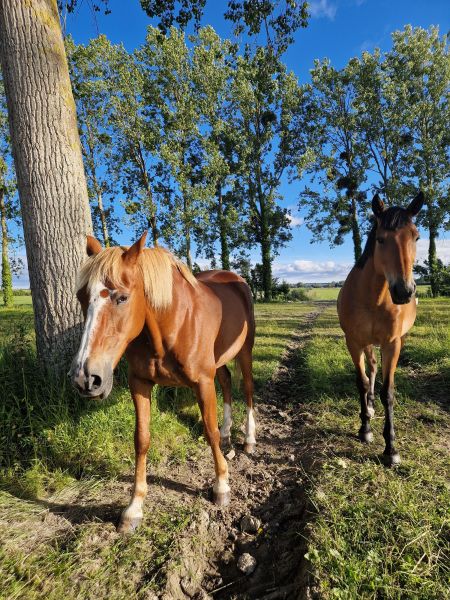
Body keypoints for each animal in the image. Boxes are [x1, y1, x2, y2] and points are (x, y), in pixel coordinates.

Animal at [68, 232, 255, 532]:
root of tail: (236, 280)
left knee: (247, 388)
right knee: (226, 382)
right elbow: (141, 439)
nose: (85, 378)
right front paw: (134, 508)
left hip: (245, 350)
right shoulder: (140, 383)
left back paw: (249, 439)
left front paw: (221, 486)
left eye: (122, 297)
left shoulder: (203, 382)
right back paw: (228, 432)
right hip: (219, 359)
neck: (173, 324)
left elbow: (209, 431)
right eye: (81, 297)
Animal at [340, 192, 424, 464]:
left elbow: (388, 392)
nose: (404, 291)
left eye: (416, 236)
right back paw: (368, 407)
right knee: (372, 369)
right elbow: (362, 382)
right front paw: (365, 428)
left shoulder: (392, 343)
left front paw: (391, 448)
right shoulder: (354, 342)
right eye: (380, 239)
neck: (374, 299)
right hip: (366, 343)